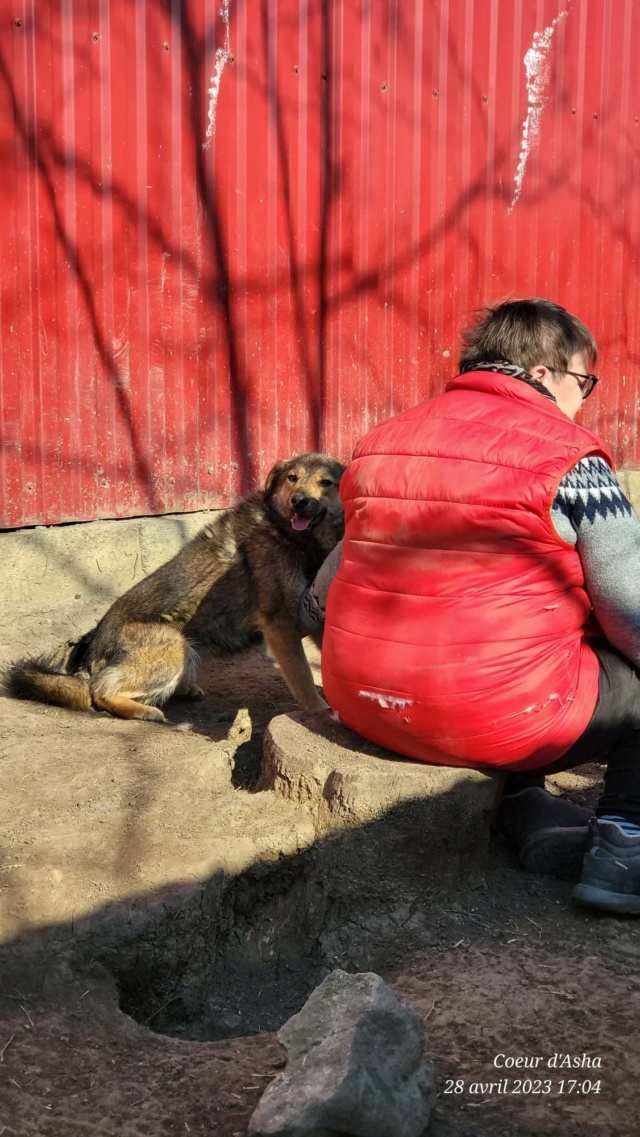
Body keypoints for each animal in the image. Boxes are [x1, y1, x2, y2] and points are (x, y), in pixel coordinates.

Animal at [1, 452, 345, 718]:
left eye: (326, 483)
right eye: (292, 478)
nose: (299, 502)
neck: (288, 532)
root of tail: (89, 655)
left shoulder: (309, 614)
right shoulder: (281, 622)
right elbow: (302, 675)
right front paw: (319, 709)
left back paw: (180, 690)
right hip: (174, 645)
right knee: (98, 691)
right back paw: (143, 710)